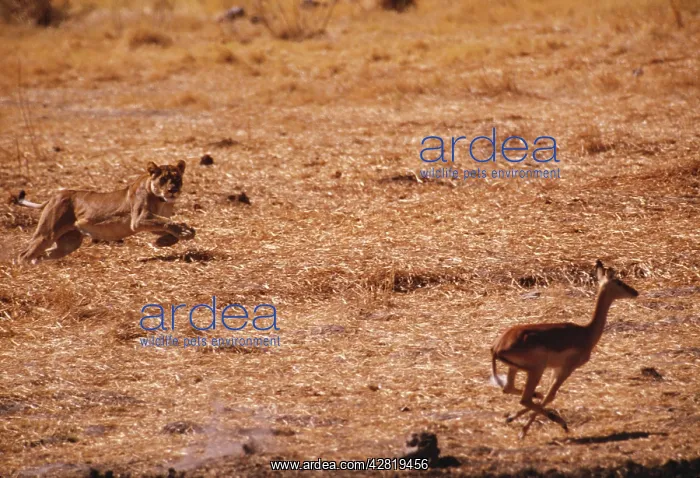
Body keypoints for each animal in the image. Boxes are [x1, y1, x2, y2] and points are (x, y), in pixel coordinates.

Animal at [13, 160, 195, 264]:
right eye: (163, 179)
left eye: (177, 179)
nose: (172, 190)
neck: (161, 200)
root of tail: (55, 195)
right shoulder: (139, 219)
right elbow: (169, 222)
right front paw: (185, 233)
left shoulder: (150, 222)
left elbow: (168, 226)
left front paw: (163, 242)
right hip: (47, 233)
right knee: (24, 254)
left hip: (69, 243)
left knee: (44, 254)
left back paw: (39, 266)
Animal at [490, 260, 638, 438]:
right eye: (619, 282)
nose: (635, 292)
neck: (586, 332)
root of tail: (497, 347)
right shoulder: (566, 368)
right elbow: (550, 395)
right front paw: (524, 428)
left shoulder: (556, 369)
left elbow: (547, 395)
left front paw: (512, 418)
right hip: (536, 369)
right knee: (525, 398)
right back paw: (553, 422)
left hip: (517, 369)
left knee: (510, 389)